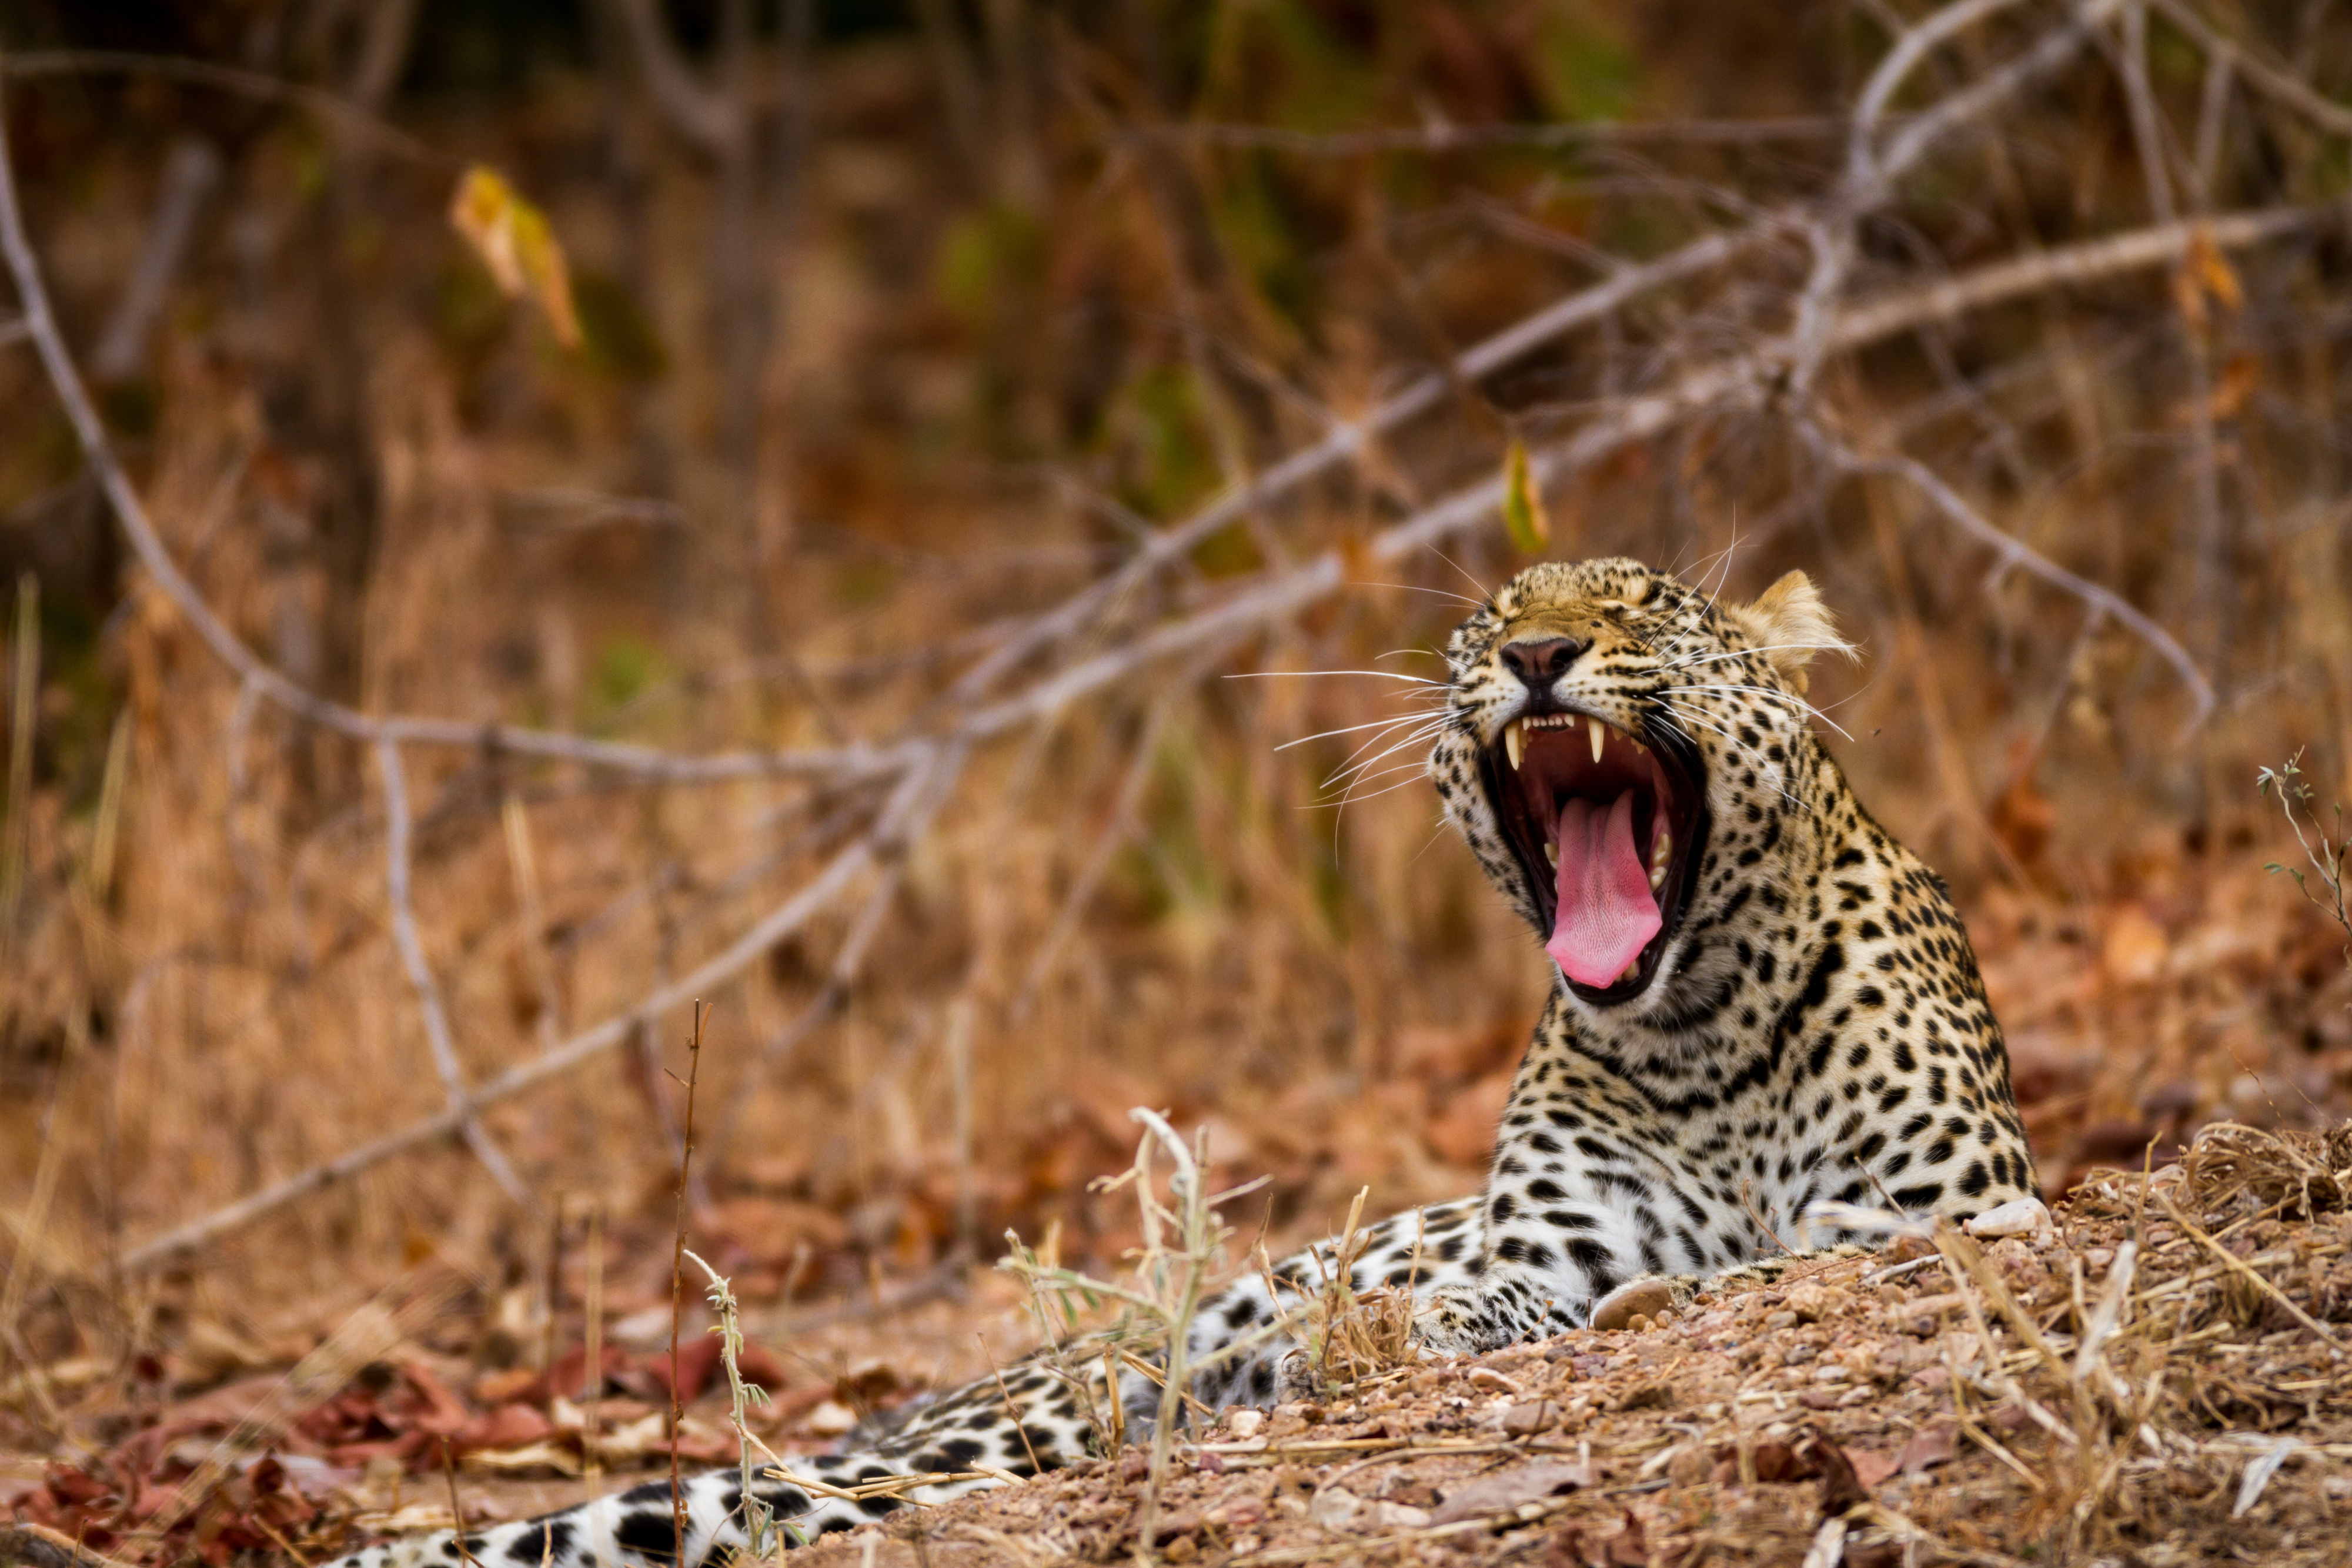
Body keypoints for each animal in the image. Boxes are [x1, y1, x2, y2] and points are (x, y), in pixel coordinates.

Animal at [323, 556, 2037, 1568]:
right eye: (1490, 623)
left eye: (1646, 609)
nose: (1542, 653)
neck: (1703, 1034)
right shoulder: (1540, 1254)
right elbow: (1485, 1303)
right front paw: (1403, 1334)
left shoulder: (1949, 1210)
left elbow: (1810, 1253)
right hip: (1000, 1422)